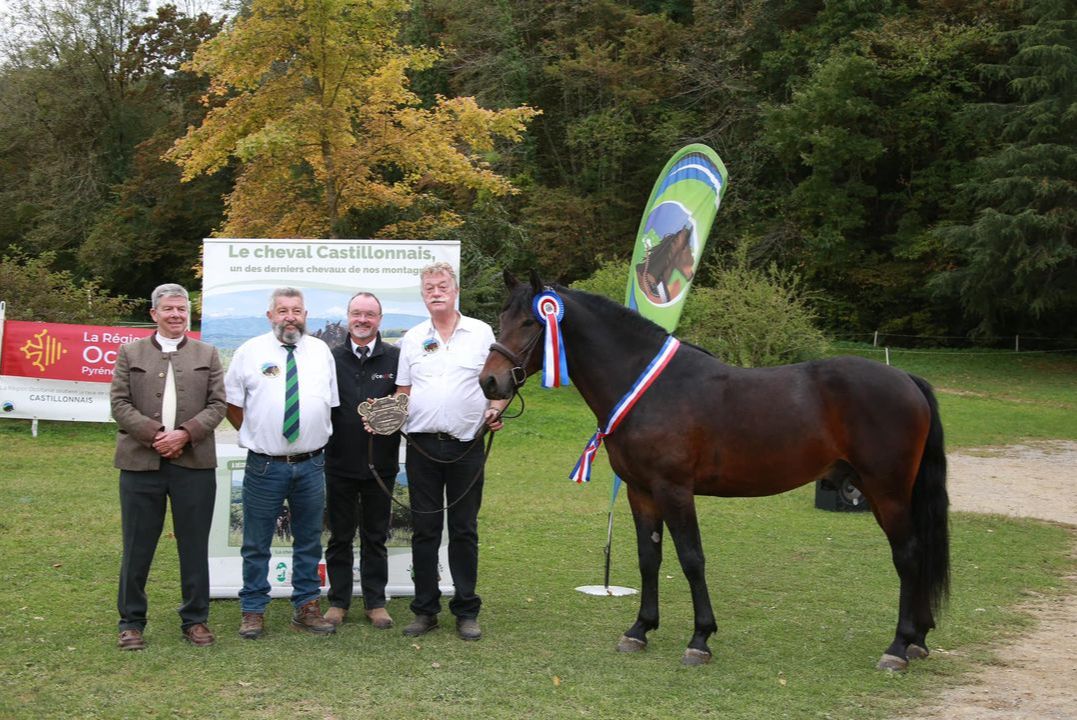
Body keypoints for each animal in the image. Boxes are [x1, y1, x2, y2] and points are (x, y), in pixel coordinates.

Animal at [482, 271, 952, 667]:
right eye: (501, 318)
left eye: (531, 322)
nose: (490, 382)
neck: (650, 387)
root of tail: (906, 379)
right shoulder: (641, 491)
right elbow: (649, 557)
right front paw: (640, 629)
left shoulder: (674, 490)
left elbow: (692, 558)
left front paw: (700, 639)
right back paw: (918, 639)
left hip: (886, 490)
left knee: (908, 554)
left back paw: (898, 646)